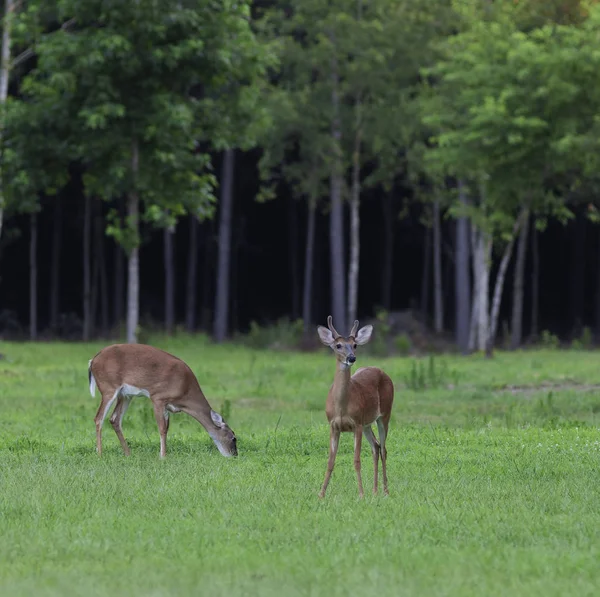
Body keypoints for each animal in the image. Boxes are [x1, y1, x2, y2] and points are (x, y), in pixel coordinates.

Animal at [88, 342, 238, 458]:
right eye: (233, 438)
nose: (234, 455)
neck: (185, 391)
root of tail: (93, 360)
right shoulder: (158, 397)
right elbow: (162, 429)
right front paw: (163, 456)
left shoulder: (168, 406)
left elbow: (166, 428)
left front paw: (163, 454)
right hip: (109, 387)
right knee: (99, 418)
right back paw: (100, 454)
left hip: (125, 395)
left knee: (115, 419)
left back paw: (128, 453)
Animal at [316, 316, 396, 498]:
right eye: (338, 345)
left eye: (355, 345)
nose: (351, 358)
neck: (341, 407)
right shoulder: (333, 425)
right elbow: (330, 461)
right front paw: (321, 494)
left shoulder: (356, 424)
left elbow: (356, 460)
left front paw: (360, 494)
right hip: (367, 423)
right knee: (375, 446)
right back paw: (374, 490)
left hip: (384, 414)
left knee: (383, 449)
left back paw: (385, 491)